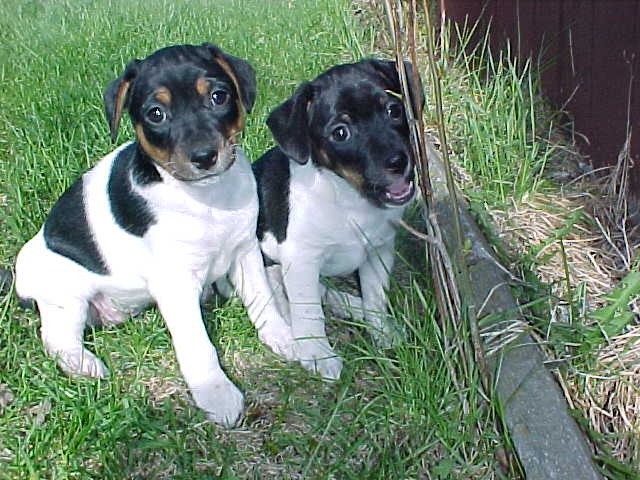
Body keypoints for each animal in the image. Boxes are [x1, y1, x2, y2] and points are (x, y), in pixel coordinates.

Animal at [14, 44, 296, 428]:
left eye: (218, 96)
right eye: (156, 114)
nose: (204, 156)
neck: (206, 198)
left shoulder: (245, 251)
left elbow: (263, 302)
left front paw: (286, 340)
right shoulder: (175, 282)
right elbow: (197, 343)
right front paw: (216, 393)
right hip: (65, 294)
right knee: (56, 339)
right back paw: (87, 366)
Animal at [252, 58, 422, 378]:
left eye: (393, 110)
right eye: (340, 133)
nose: (398, 161)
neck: (350, 200)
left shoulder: (379, 249)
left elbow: (376, 295)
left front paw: (380, 330)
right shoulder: (302, 258)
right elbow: (308, 309)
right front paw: (317, 353)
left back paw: (352, 306)